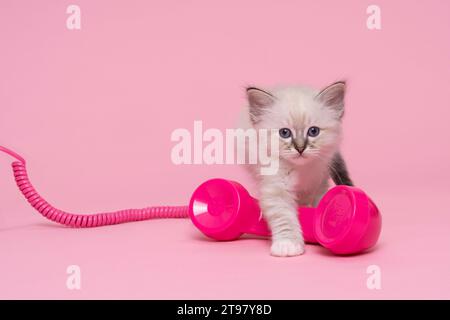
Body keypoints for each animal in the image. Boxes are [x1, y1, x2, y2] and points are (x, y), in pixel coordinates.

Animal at [239, 82, 352, 258]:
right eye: (285, 133)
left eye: (313, 131)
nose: (300, 148)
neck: (302, 170)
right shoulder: (277, 187)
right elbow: (284, 217)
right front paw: (287, 245)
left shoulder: (319, 181)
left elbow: (319, 204)